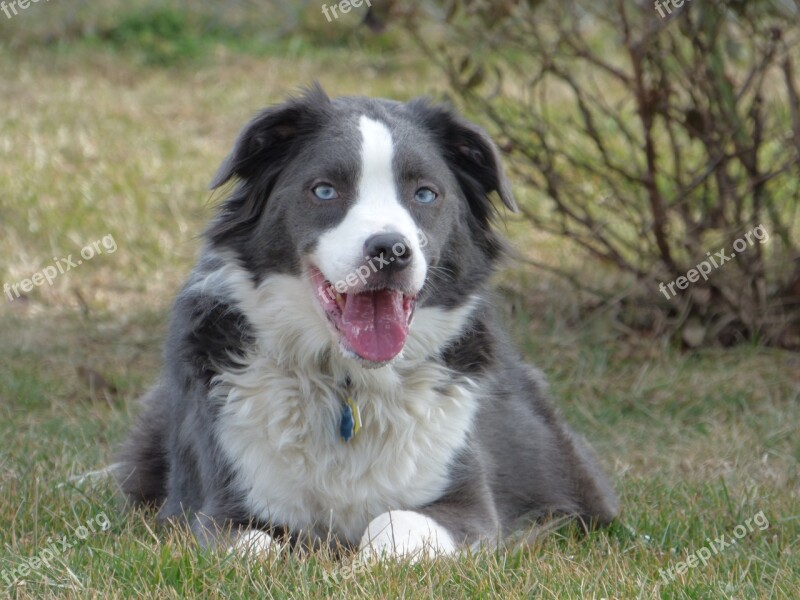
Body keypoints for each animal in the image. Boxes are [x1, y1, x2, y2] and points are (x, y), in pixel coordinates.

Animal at [119, 84, 620, 556]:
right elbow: (252, 548)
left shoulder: (469, 505)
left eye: (425, 194)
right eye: (324, 190)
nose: (391, 250)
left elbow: (396, 521)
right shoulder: (217, 505)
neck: (348, 383)